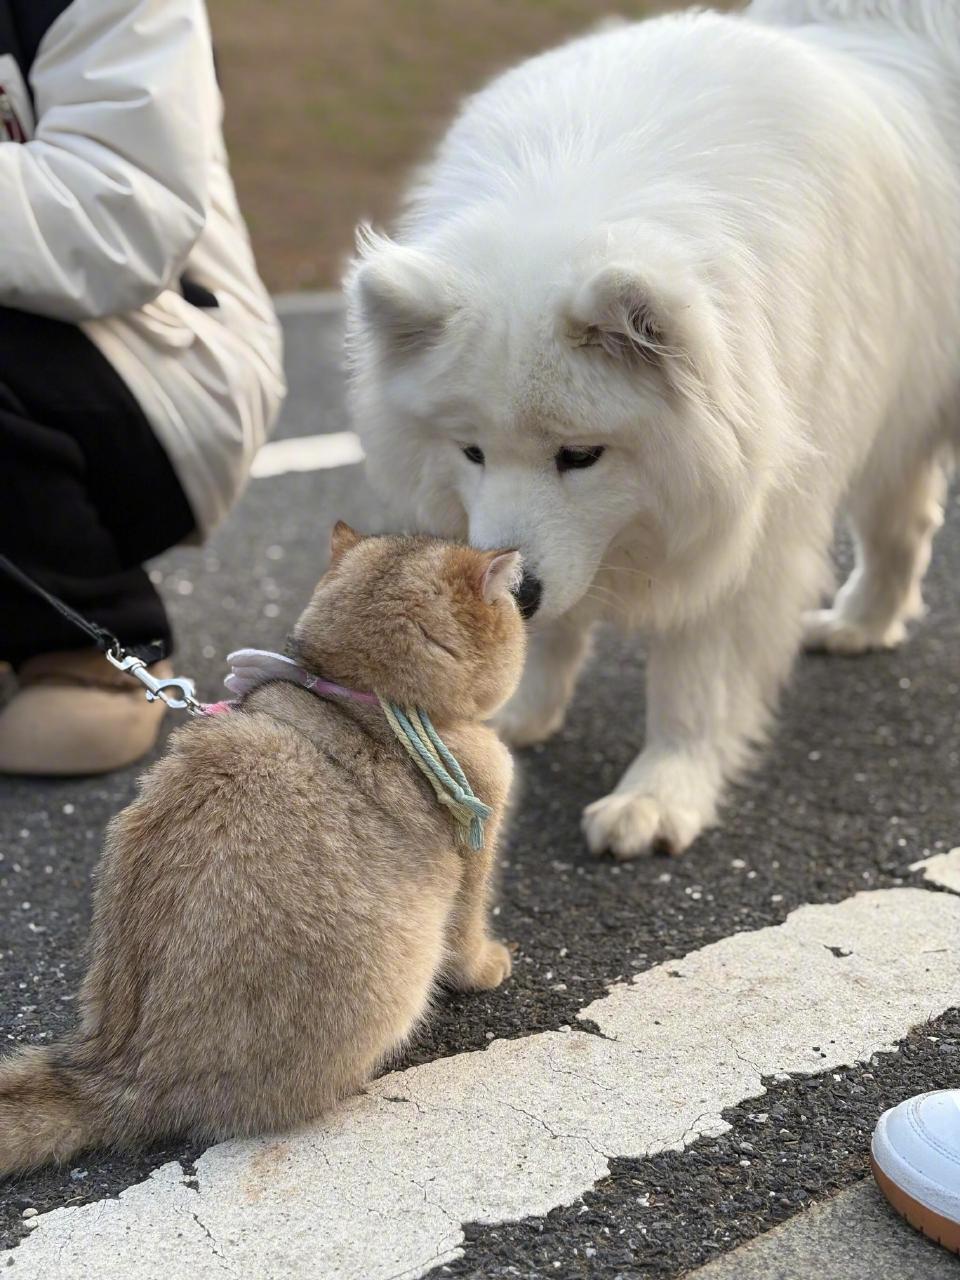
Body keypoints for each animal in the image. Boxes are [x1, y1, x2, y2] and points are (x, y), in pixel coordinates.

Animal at [345, 2, 960, 860]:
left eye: (582, 456)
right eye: (470, 452)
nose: (519, 592)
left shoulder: (746, 534)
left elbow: (694, 686)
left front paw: (661, 795)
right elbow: (555, 632)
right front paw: (522, 711)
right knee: (903, 524)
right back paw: (864, 623)